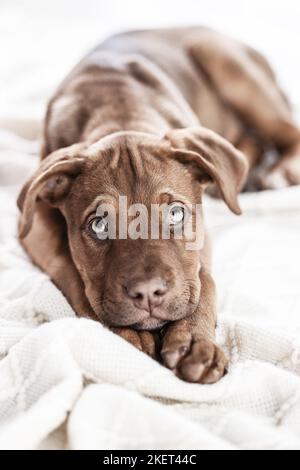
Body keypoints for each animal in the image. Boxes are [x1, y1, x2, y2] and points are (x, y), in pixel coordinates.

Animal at [17, 27, 300, 384]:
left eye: (176, 213)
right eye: (99, 224)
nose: (148, 293)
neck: (120, 112)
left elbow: (203, 279)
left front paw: (194, 340)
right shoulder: (35, 220)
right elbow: (68, 266)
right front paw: (127, 334)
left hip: (229, 68)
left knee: (287, 132)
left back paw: (279, 172)